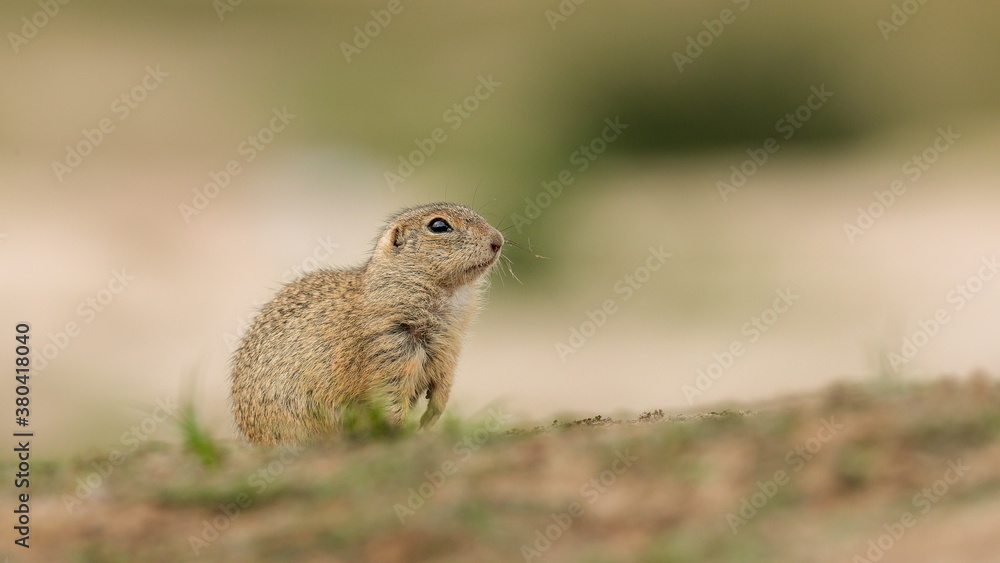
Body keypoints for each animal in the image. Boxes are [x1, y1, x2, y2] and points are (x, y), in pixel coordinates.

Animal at [230, 202, 504, 444]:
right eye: (439, 225)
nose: (498, 240)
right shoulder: (388, 347)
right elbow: (389, 396)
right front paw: (402, 431)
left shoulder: (450, 346)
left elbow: (444, 383)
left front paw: (431, 416)